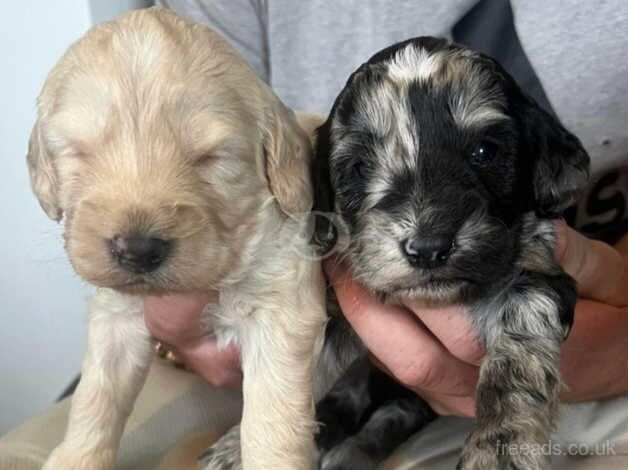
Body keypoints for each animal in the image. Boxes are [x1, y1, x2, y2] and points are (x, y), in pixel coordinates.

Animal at [27, 7, 326, 470]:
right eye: (80, 152)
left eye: (209, 158)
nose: (137, 250)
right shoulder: (116, 317)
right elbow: (96, 396)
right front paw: (75, 457)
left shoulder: (281, 309)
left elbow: (272, 422)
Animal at [312, 37, 588, 470]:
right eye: (360, 167)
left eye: (483, 152)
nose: (428, 248)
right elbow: (299, 370)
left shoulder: (537, 279)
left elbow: (515, 364)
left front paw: (498, 449)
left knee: (396, 412)